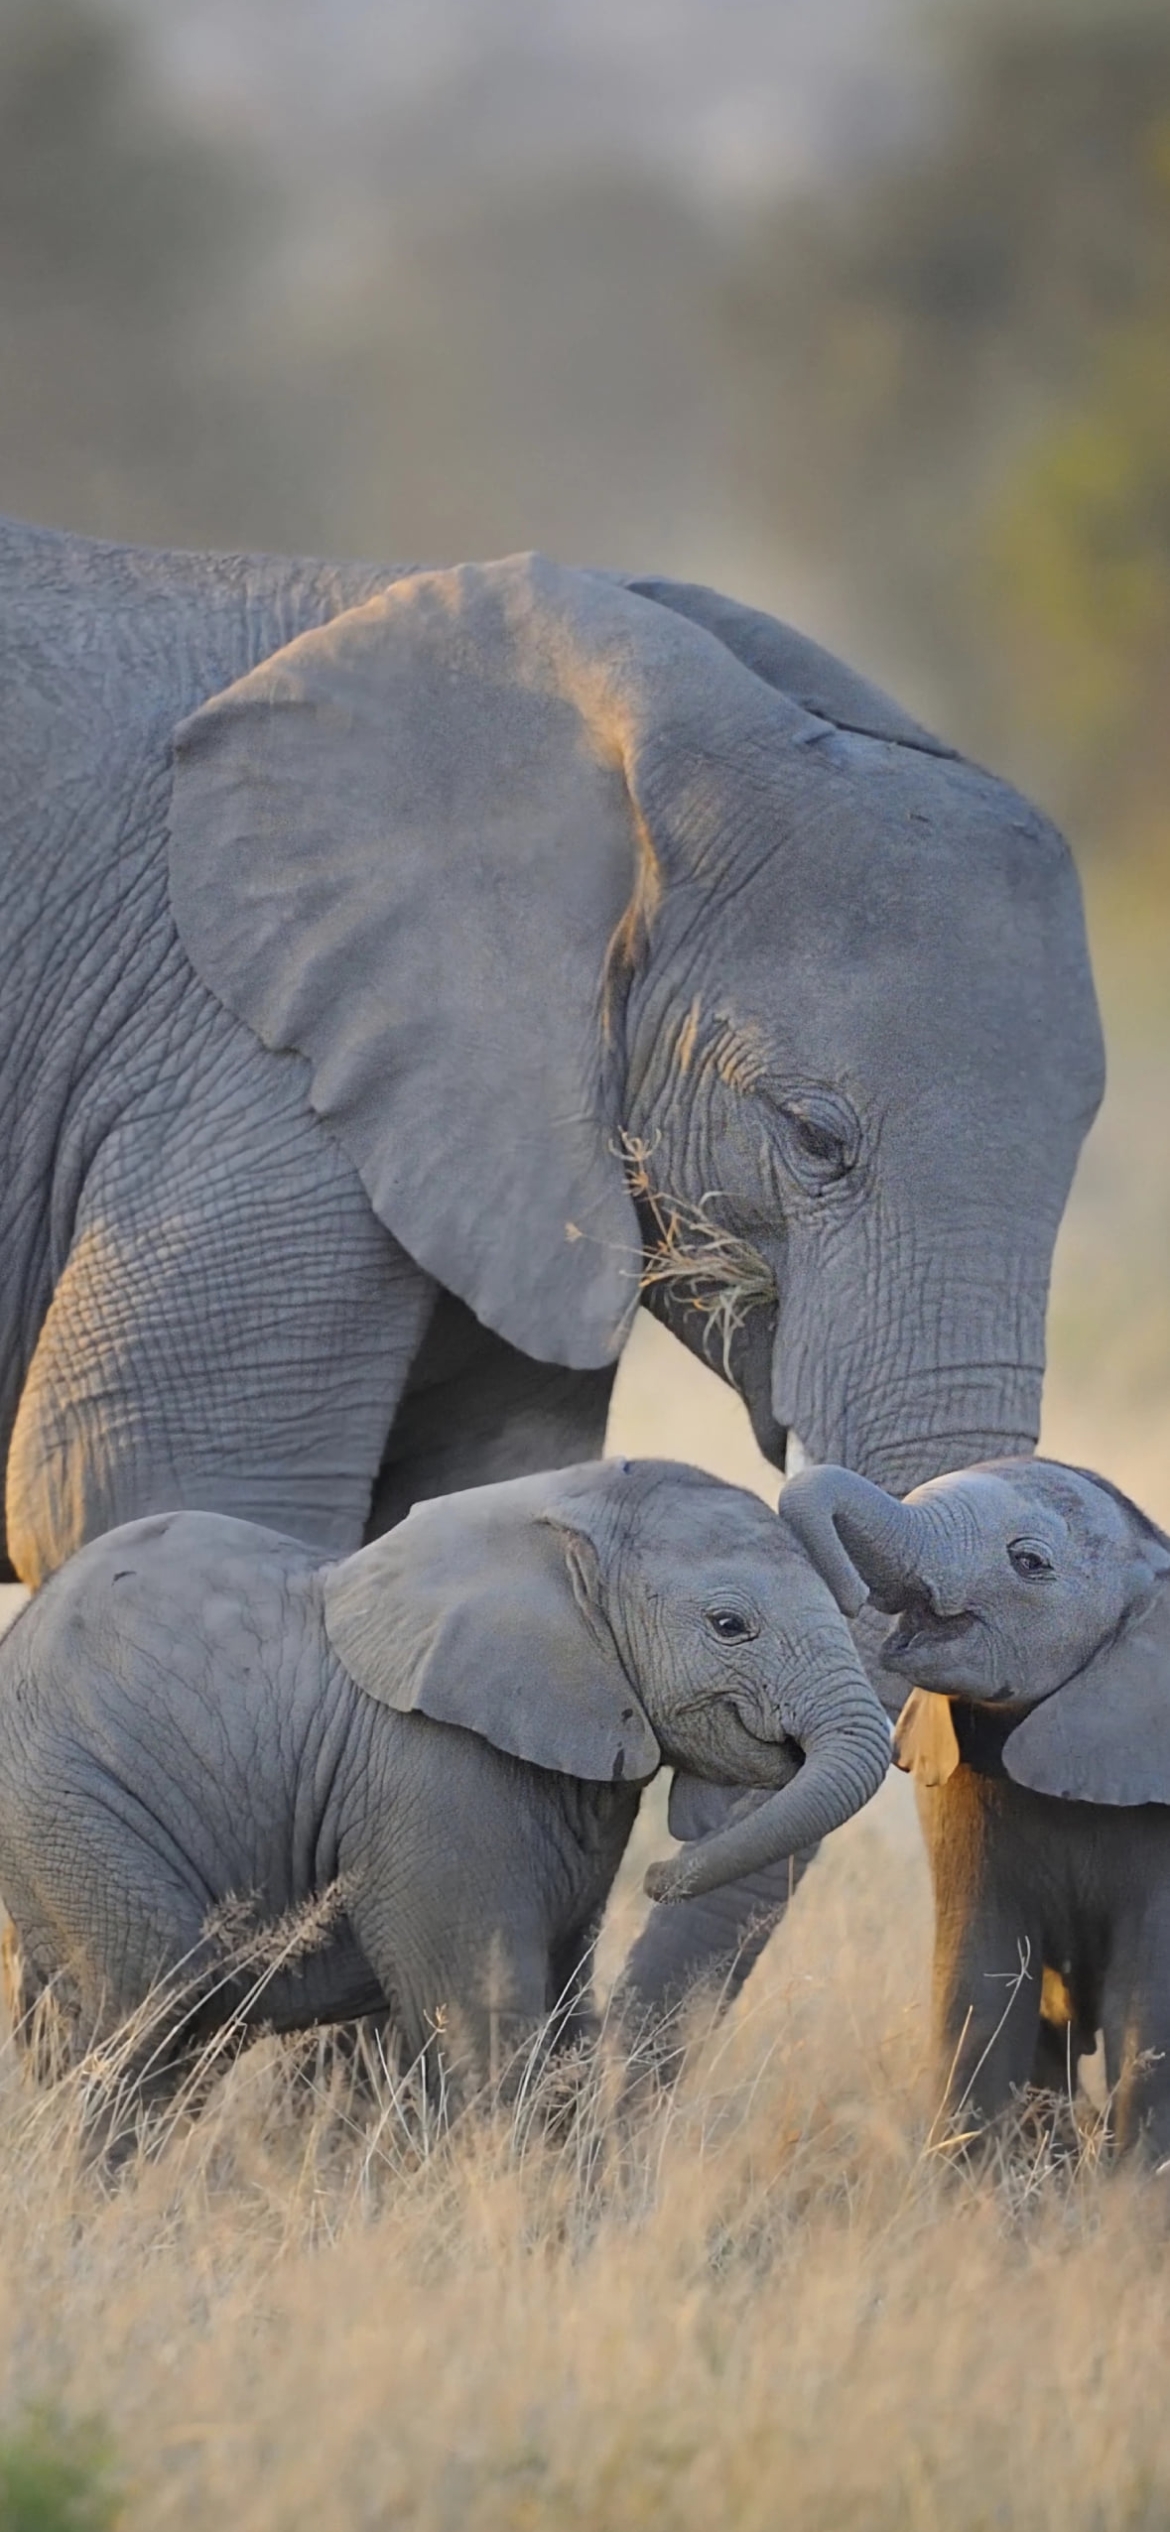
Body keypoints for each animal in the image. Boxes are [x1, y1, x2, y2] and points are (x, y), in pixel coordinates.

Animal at [0, 1458, 891, 2116]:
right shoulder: (433, 1780)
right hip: (69, 1802)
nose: (659, 1876)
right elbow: (482, 2019)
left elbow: (565, 2012)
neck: (560, 1514)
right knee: (158, 2004)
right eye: (729, 1626)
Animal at [779, 1456, 1170, 2156]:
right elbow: (980, 1979)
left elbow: (1145, 2004)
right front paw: (971, 2181)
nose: (848, 1596)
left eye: (1029, 1561)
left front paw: (1132, 2188)